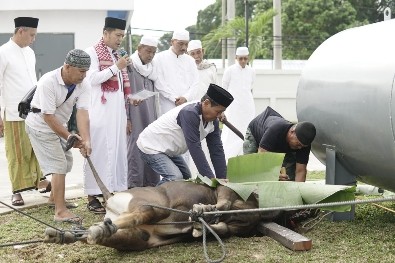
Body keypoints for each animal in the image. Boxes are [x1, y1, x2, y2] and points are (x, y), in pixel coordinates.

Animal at [44, 182, 282, 252]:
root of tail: (111, 200)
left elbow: (223, 227)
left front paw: (199, 226)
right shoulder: (227, 188)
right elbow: (222, 204)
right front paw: (202, 212)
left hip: (138, 238)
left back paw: (64, 235)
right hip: (155, 205)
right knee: (139, 214)